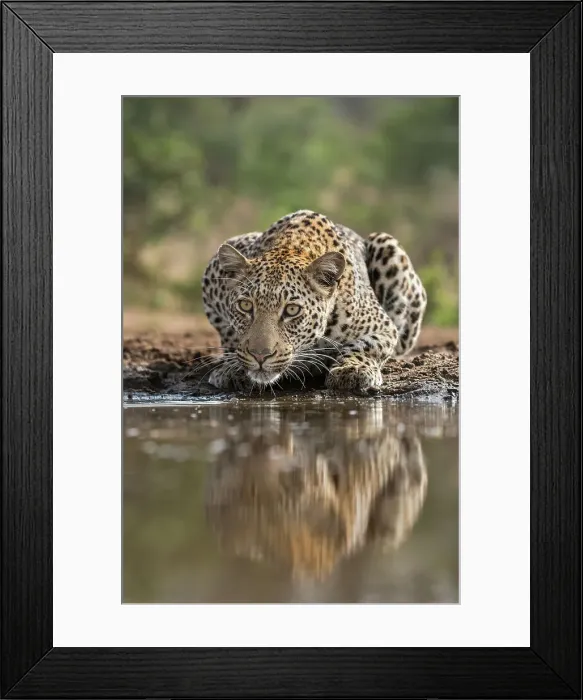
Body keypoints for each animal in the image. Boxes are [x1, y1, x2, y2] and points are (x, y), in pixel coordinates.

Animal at [201, 209, 427, 395]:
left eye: (292, 310)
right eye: (246, 306)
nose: (260, 356)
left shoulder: (383, 326)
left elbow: (366, 346)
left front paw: (351, 369)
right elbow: (230, 335)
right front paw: (234, 368)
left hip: (388, 246)